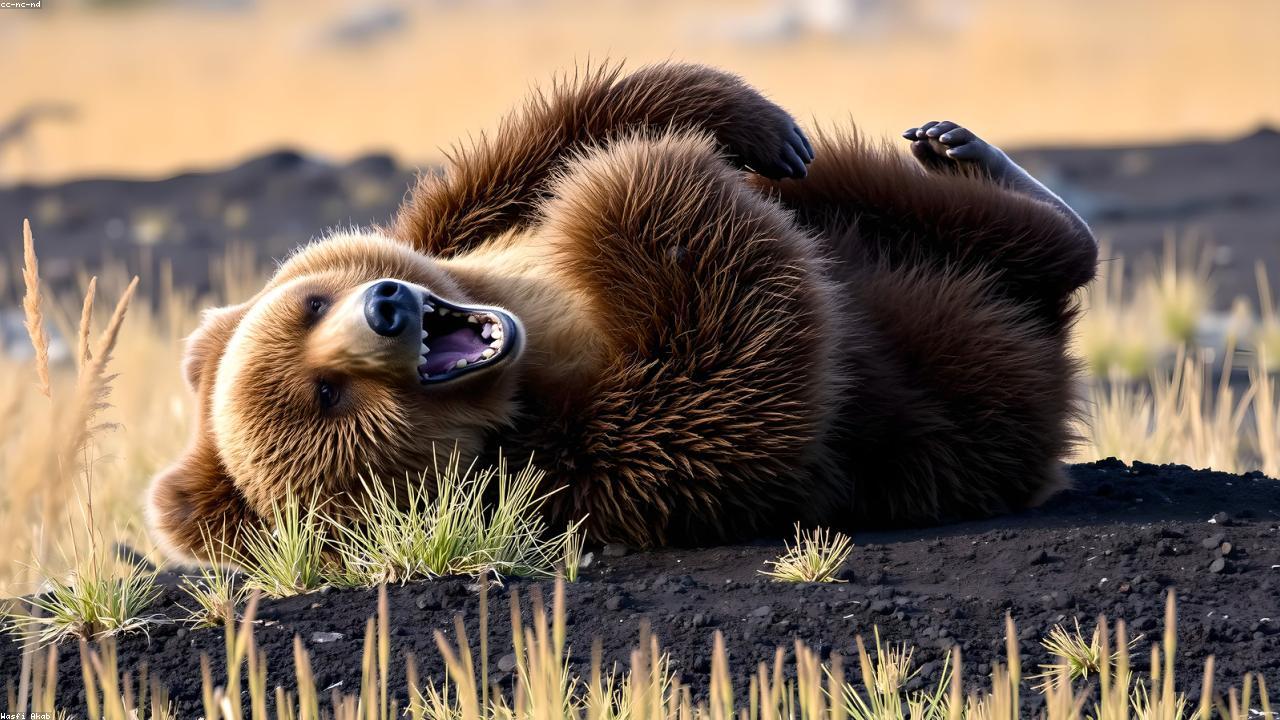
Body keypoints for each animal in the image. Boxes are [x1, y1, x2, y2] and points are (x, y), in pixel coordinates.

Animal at [146, 62, 1097, 561]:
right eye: (329, 397)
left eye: (311, 303)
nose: (387, 307)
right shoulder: (595, 465)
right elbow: (737, 376)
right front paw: (629, 186)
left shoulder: (462, 223)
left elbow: (555, 140)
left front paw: (746, 122)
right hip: (972, 368)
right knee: (1023, 267)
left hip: (859, 208)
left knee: (876, 189)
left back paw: (953, 145)